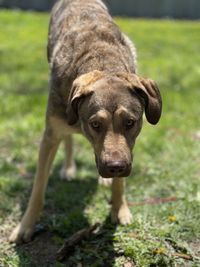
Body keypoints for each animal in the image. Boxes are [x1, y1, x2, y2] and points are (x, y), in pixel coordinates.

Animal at [9, 0, 162, 244]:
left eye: (130, 122)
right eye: (95, 124)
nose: (115, 167)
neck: (102, 62)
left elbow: (121, 179)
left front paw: (119, 208)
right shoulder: (50, 134)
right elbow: (38, 187)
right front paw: (25, 226)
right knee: (67, 137)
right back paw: (69, 168)